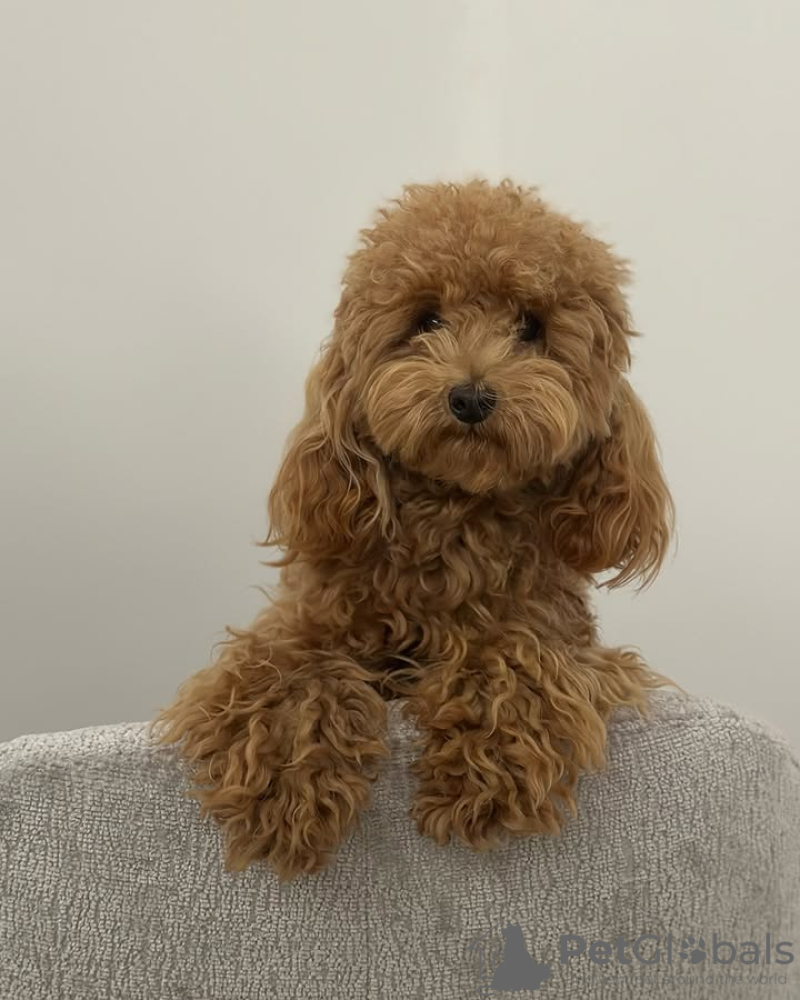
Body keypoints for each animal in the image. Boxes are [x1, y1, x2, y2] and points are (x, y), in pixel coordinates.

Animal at [153, 179, 673, 880]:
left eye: (531, 328)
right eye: (426, 319)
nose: (471, 398)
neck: (452, 517)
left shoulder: (562, 637)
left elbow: (514, 653)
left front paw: (483, 774)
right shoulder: (306, 620)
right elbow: (285, 666)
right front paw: (286, 783)